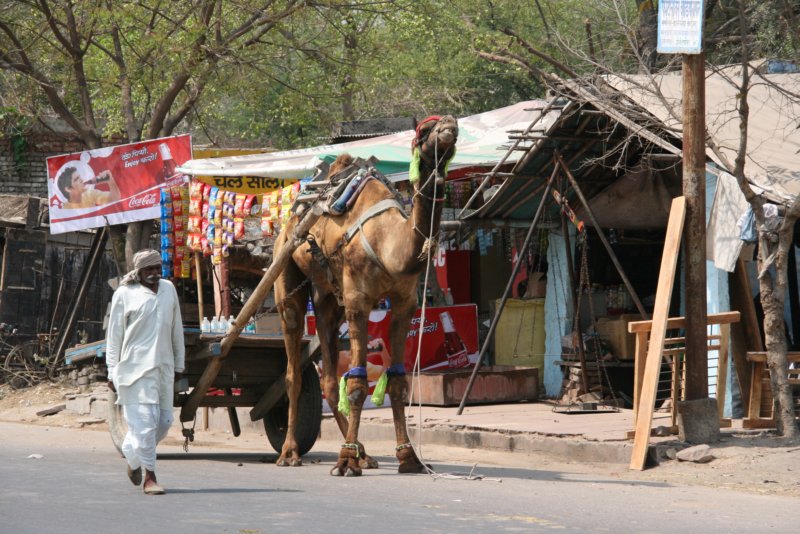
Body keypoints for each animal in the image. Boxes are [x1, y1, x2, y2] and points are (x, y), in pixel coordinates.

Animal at [274, 117, 456, 478]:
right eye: (424, 132)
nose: (449, 126)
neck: (389, 244)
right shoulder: (358, 300)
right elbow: (358, 383)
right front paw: (345, 462)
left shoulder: (403, 303)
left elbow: (398, 382)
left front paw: (408, 458)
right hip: (287, 273)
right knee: (293, 370)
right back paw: (291, 452)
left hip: (329, 298)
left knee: (329, 375)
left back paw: (363, 453)